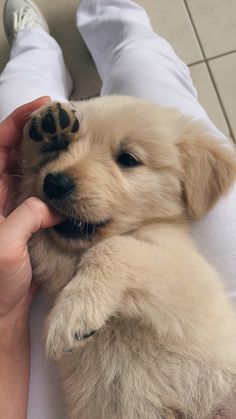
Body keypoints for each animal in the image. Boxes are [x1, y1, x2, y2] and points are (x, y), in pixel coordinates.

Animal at [20, 96, 236, 419]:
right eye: (67, 147)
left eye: (128, 159)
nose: (55, 183)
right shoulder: (54, 262)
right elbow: (25, 201)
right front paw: (46, 131)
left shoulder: (189, 289)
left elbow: (116, 248)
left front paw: (74, 310)